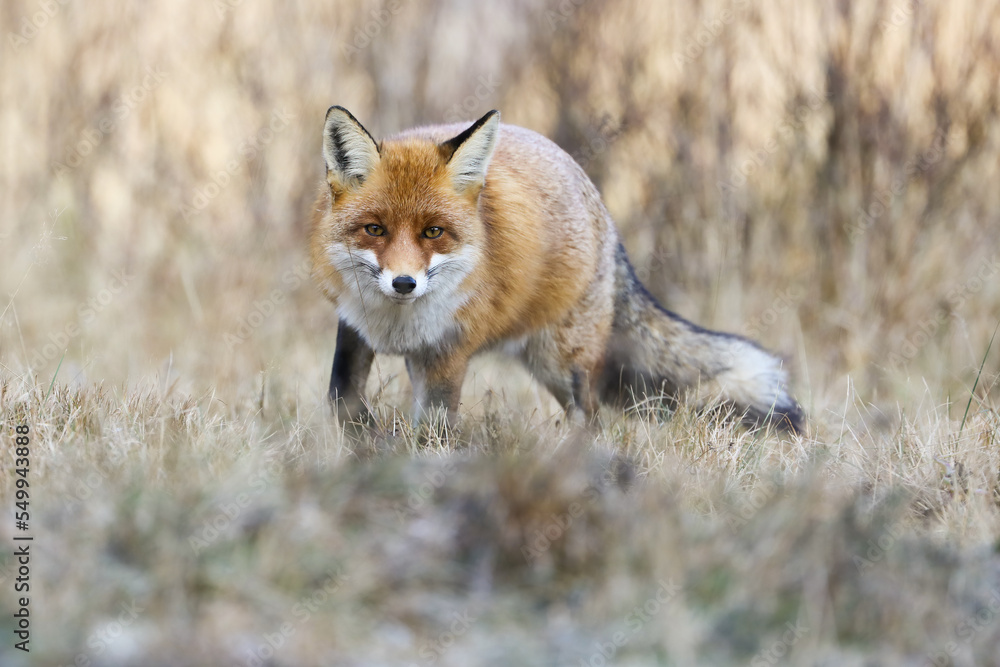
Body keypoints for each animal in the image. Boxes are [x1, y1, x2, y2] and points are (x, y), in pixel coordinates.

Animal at [310, 106, 804, 433]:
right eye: (375, 229)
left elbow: (434, 427)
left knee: (591, 419)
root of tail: (604, 213)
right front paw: (365, 440)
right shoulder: (355, 326)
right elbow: (340, 397)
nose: (404, 283)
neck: (396, 323)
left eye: (433, 232)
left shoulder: (449, 351)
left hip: (561, 363)